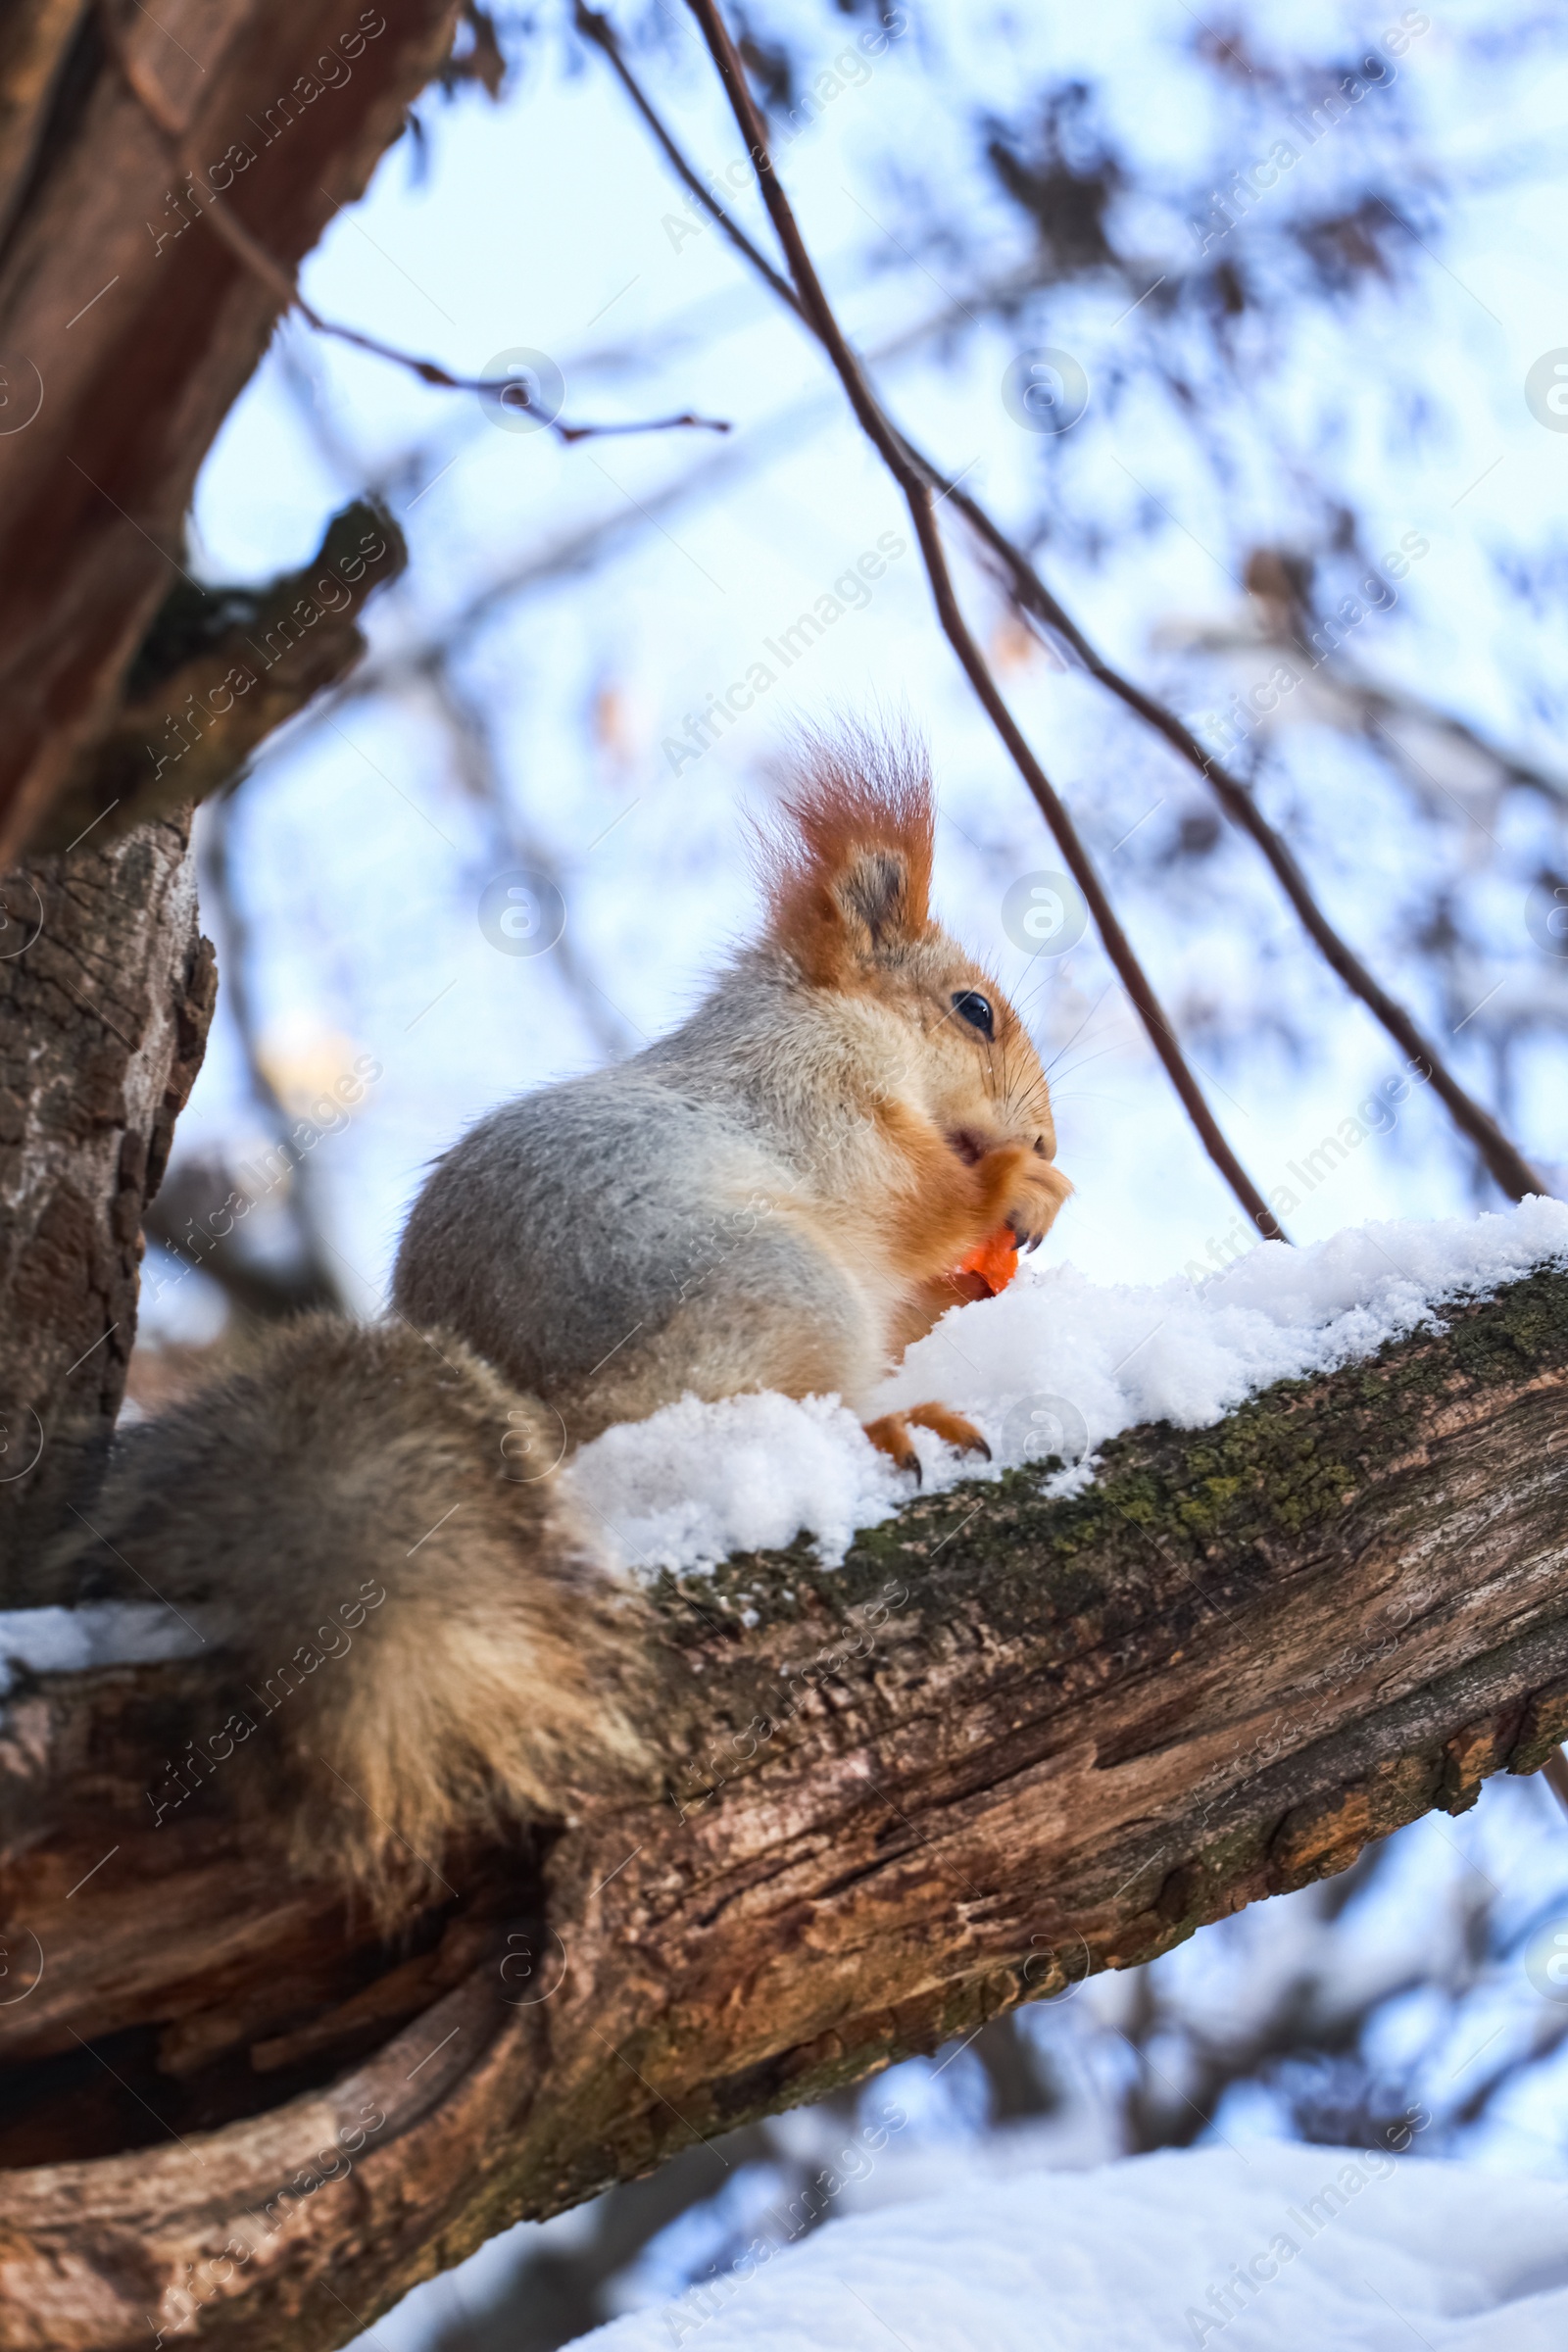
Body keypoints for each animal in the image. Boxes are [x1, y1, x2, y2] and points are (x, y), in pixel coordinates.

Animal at [46, 733, 1067, 1909]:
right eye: (973, 1010)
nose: (1046, 1138)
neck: (823, 1026)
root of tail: (544, 1416)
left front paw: (990, 1266)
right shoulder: (809, 1102)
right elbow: (908, 1200)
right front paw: (1015, 1189)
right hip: (777, 1289)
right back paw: (885, 1425)